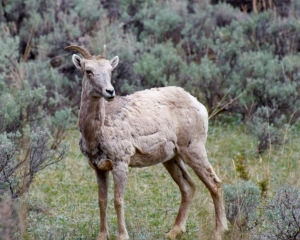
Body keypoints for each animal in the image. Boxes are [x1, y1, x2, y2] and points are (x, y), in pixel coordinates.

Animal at [65, 45, 227, 240]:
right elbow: (102, 200)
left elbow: (118, 200)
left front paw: (122, 235)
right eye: (88, 71)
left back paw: (218, 232)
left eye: (111, 70)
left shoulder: (121, 163)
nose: (110, 92)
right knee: (188, 187)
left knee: (214, 183)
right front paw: (102, 235)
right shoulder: (99, 168)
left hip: (193, 149)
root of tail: (198, 105)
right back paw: (174, 231)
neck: (96, 132)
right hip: (172, 158)